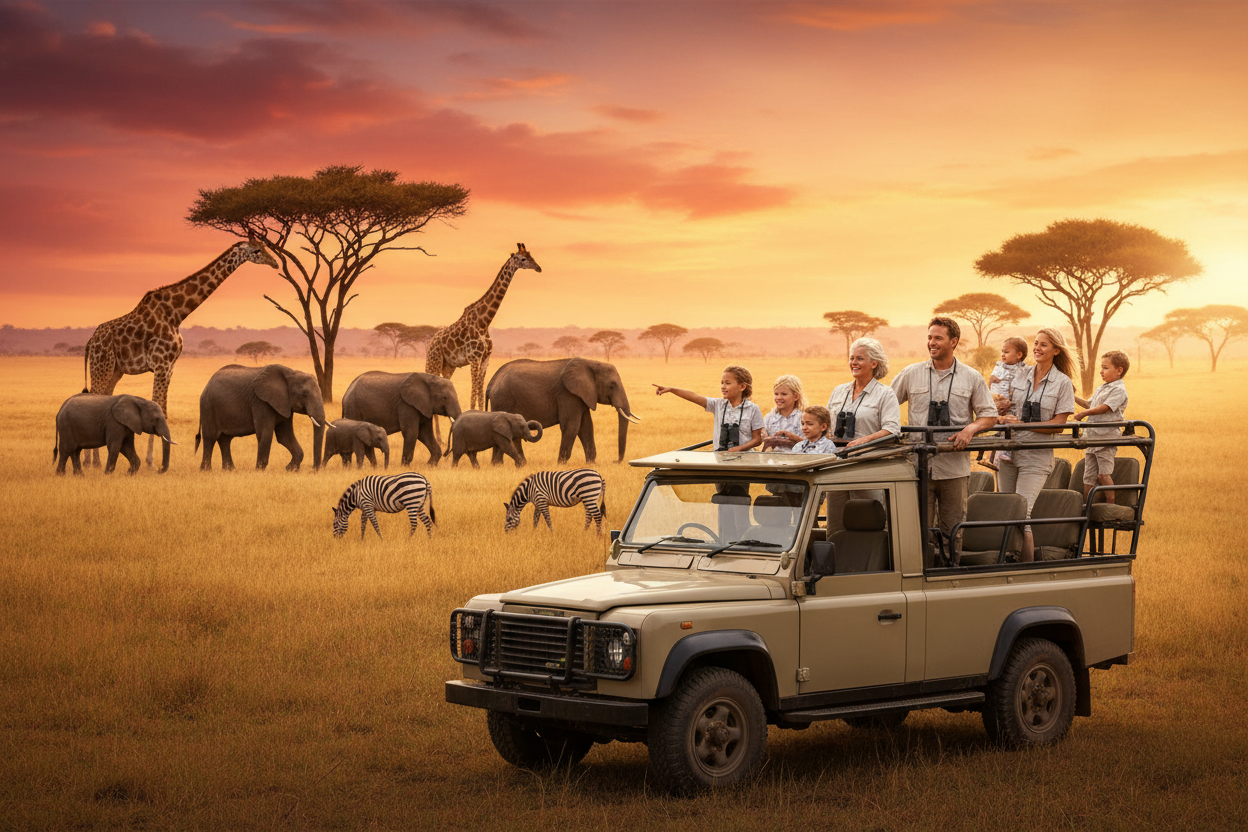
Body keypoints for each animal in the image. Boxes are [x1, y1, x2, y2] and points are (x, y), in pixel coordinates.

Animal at [84, 237, 279, 470]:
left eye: (265, 247)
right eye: (257, 250)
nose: (276, 263)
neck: (176, 313)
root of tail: (90, 342)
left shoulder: (170, 366)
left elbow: (164, 410)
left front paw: (156, 461)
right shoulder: (161, 364)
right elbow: (158, 406)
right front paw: (152, 462)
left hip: (115, 370)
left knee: (103, 397)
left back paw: (94, 460)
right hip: (101, 366)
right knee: (93, 397)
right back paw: (91, 462)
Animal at [195, 364, 325, 471]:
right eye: (304, 394)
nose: (313, 470)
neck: (290, 373)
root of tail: (207, 385)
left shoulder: (285, 404)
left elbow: (284, 436)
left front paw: (290, 469)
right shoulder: (261, 402)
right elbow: (265, 433)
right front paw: (259, 471)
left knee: (225, 439)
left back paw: (230, 470)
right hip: (208, 406)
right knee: (210, 438)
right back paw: (206, 471)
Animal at [426, 243, 541, 412]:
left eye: (531, 255)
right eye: (523, 259)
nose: (539, 268)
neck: (484, 322)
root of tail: (430, 344)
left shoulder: (486, 358)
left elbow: (480, 389)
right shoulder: (474, 358)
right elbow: (474, 390)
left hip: (448, 366)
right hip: (433, 361)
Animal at [486, 357, 640, 464]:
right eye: (612, 385)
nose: (615, 461)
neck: (590, 362)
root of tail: (491, 382)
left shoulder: (581, 396)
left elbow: (586, 427)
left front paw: (591, 463)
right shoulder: (567, 394)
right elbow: (572, 426)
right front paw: (561, 464)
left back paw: (501, 465)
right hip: (504, 399)